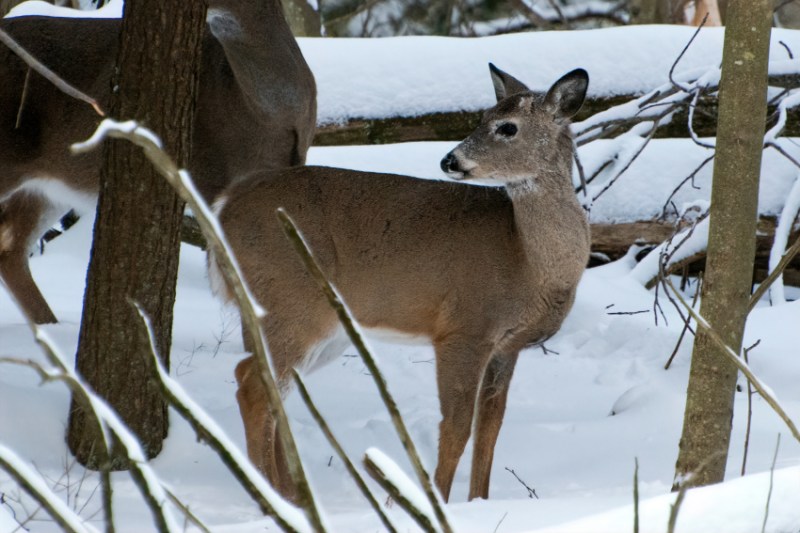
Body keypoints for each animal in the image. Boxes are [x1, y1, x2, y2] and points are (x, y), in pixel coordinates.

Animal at [209, 65, 591, 502]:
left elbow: (490, 429)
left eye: (507, 126)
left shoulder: (507, 346)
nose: (449, 159)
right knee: (252, 384)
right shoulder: (463, 328)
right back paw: (271, 494)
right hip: (289, 301)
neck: (528, 261)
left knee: (272, 386)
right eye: (481, 118)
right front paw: (435, 502)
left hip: (312, 322)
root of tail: (224, 206)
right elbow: (456, 428)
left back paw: (292, 493)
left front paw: (478, 502)